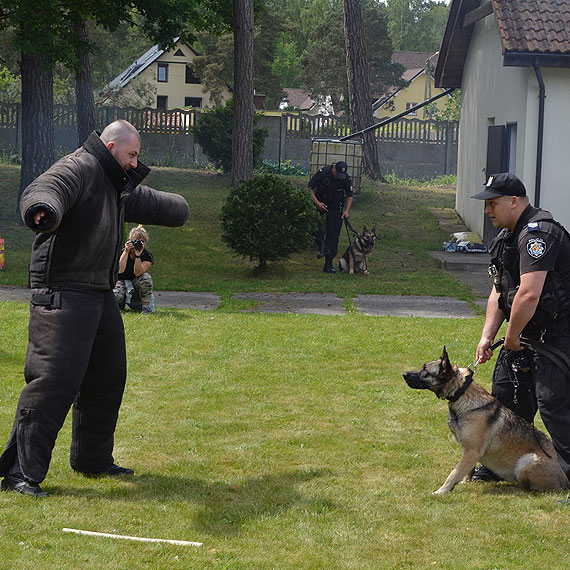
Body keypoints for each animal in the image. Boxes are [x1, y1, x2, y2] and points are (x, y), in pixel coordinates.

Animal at [402, 346, 564, 492]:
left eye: (425, 370)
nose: (403, 374)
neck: (462, 393)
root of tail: (565, 478)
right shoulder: (469, 452)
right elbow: (466, 470)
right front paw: (464, 483)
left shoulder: (471, 451)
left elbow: (454, 472)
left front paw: (441, 491)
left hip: (527, 461)